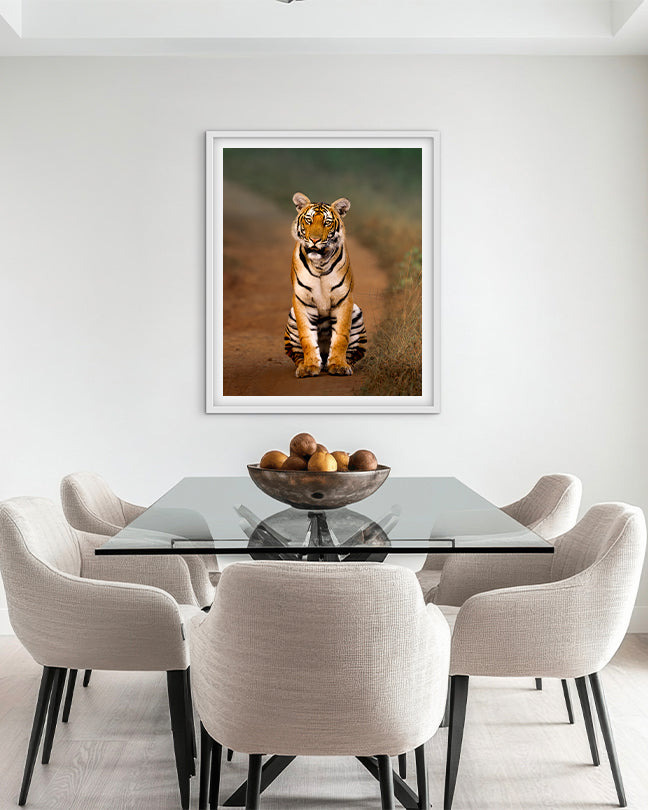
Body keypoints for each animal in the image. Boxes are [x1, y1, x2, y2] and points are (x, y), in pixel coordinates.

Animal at [283, 191, 366, 378]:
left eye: (327, 223)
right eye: (308, 220)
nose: (314, 240)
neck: (319, 264)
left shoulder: (344, 299)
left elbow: (341, 336)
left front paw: (338, 365)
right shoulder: (302, 301)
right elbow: (307, 337)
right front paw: (309, 367)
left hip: (357, 313)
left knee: (352, 354)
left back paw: (336, 364)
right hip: (291, 317)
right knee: (297, 354)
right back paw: (307, 365)